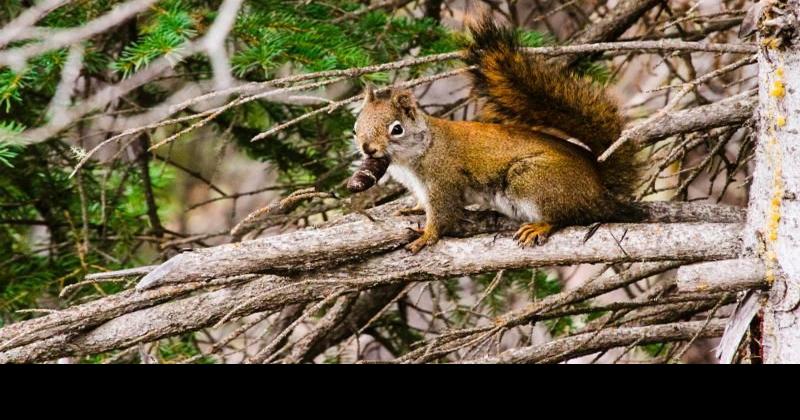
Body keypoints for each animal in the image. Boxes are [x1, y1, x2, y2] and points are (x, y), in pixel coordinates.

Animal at [352, 16, 642, 254]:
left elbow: (442, 214)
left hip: (532, 180)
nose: (368, 148)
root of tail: (599, 188)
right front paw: (412, 208)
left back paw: (539, 226)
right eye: (355, 128)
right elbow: (421, 204)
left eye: (396, 129)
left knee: (564, 216)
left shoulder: (442, 180)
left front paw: (426, 237)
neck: (418, 152)